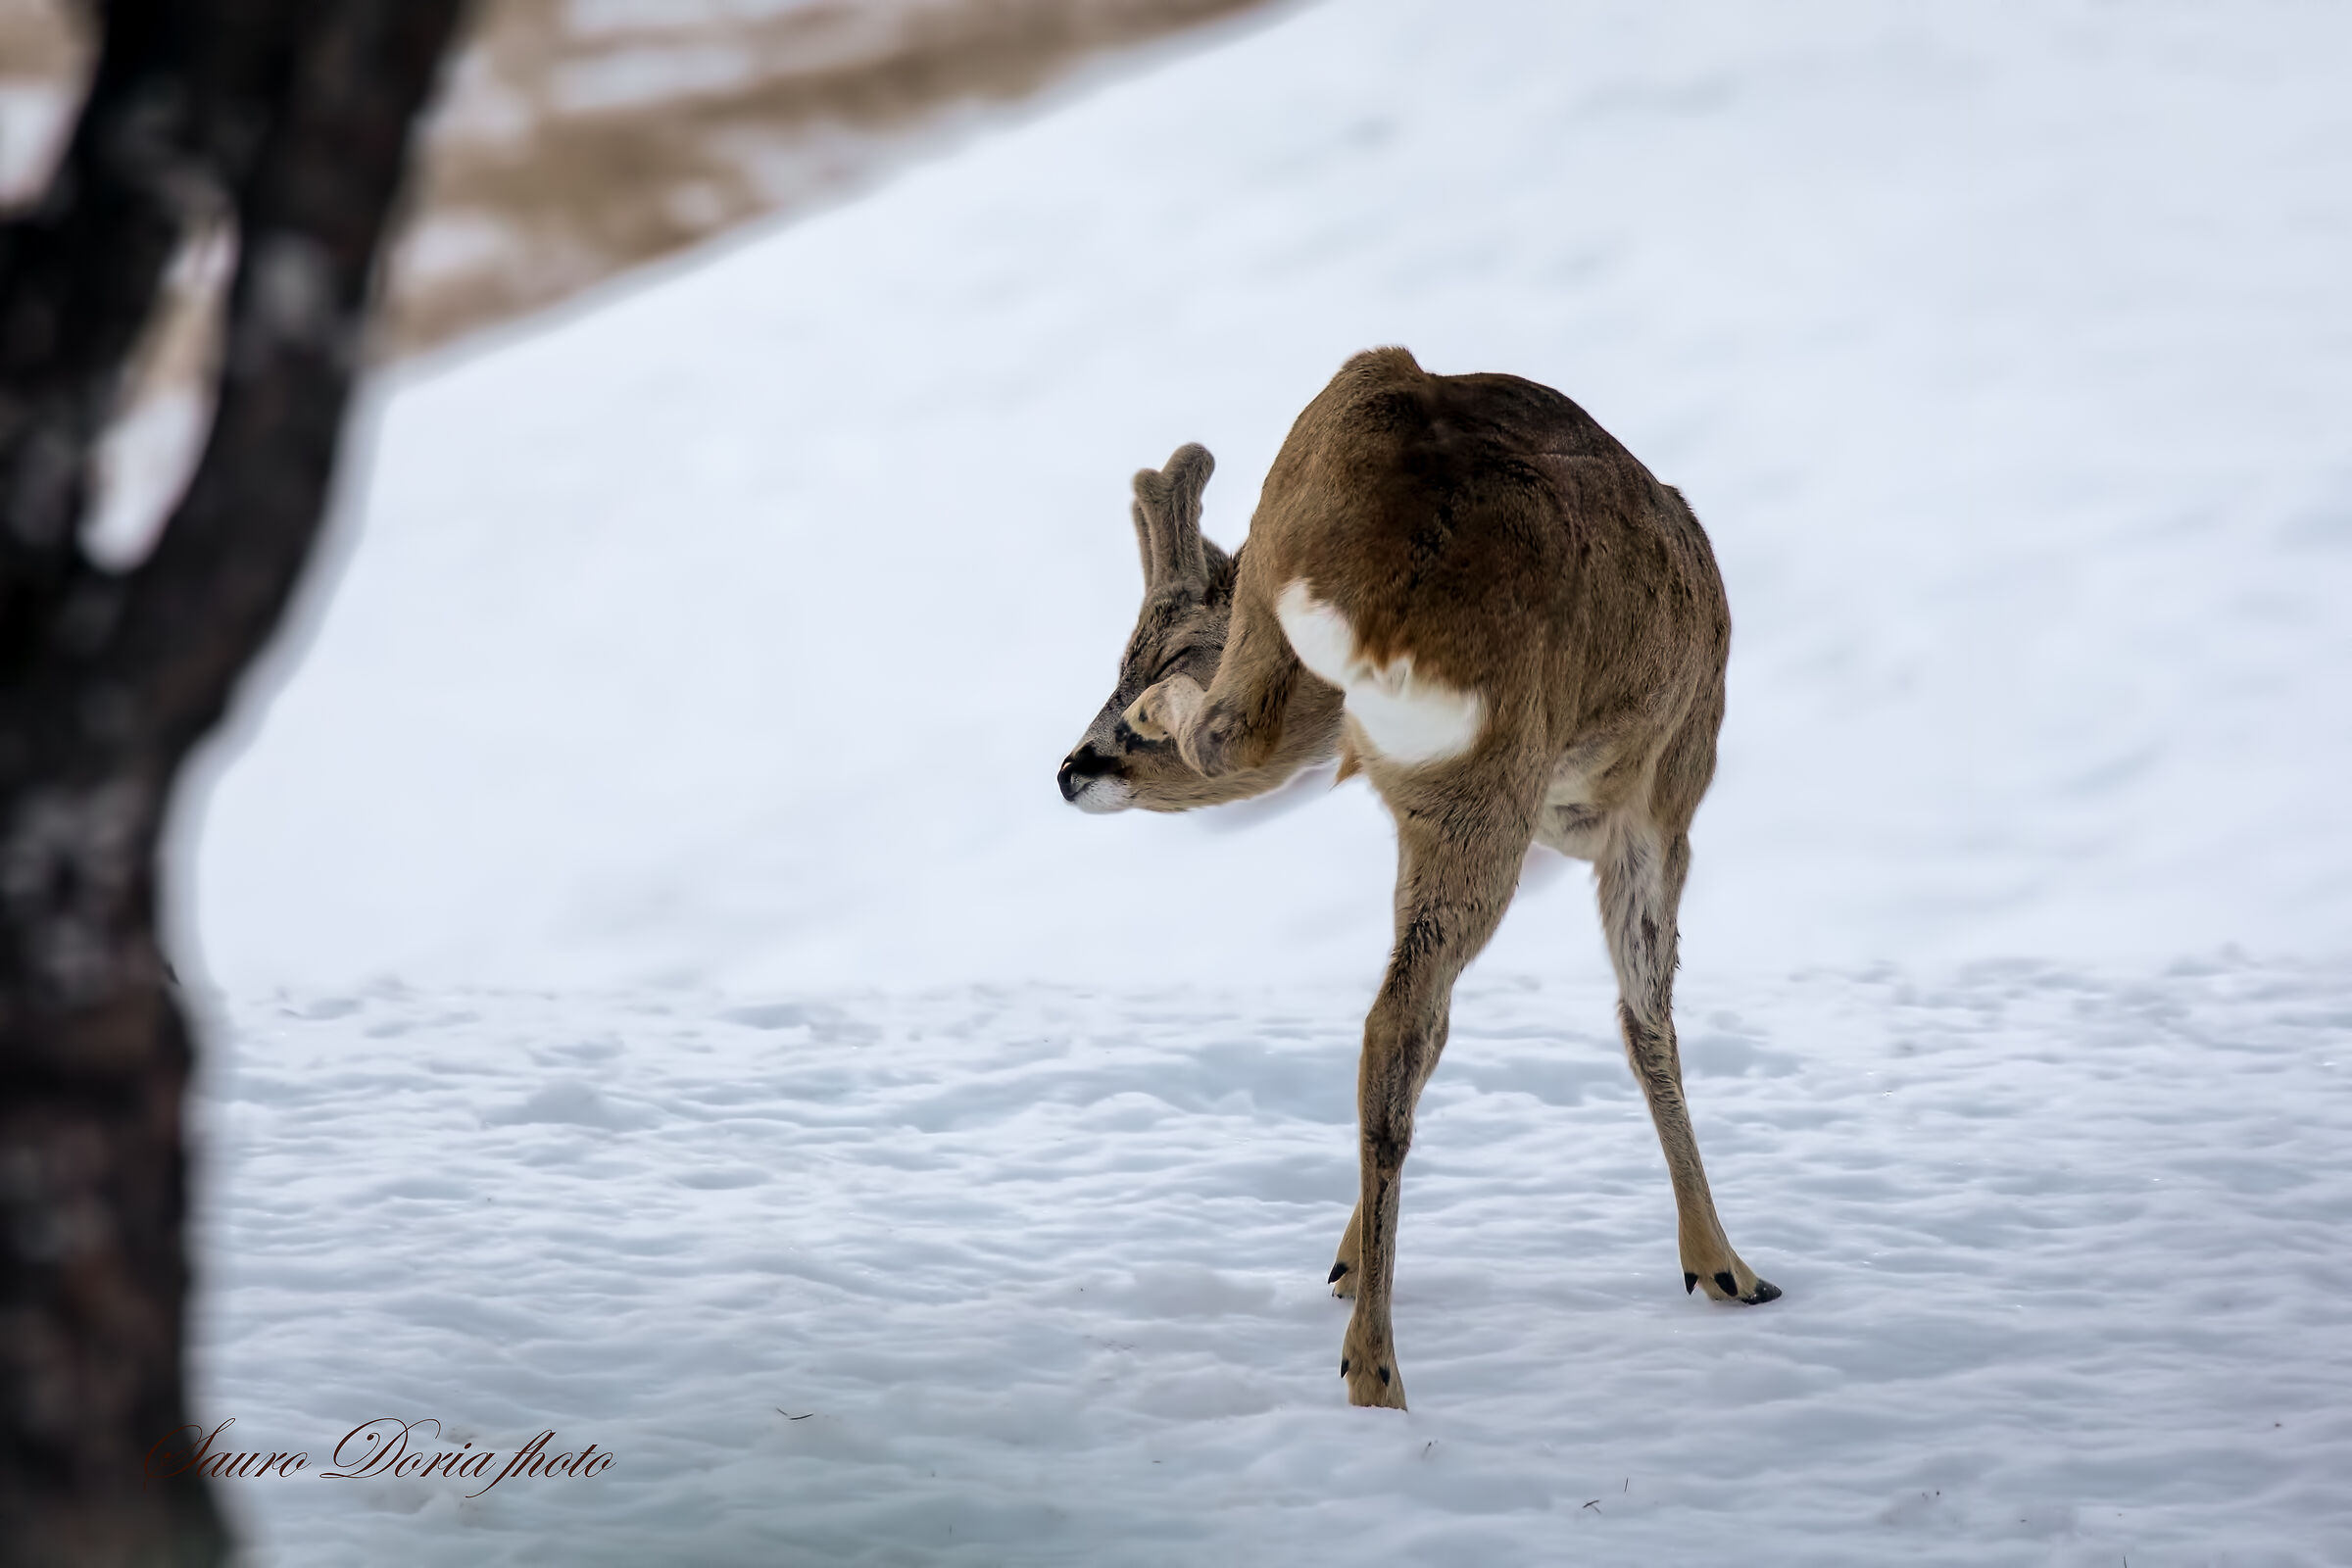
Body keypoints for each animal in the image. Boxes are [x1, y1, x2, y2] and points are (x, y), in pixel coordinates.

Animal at [1055, 347, 1779, 1410]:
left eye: (1163, 643)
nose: (1074, 764)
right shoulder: (1663, 802)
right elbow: (1647, 1020)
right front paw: (1724, 1265)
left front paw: (1347, 1254)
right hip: (1490, 787)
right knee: (1397, 1012)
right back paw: (1377, 1371)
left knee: (1393, 1022)